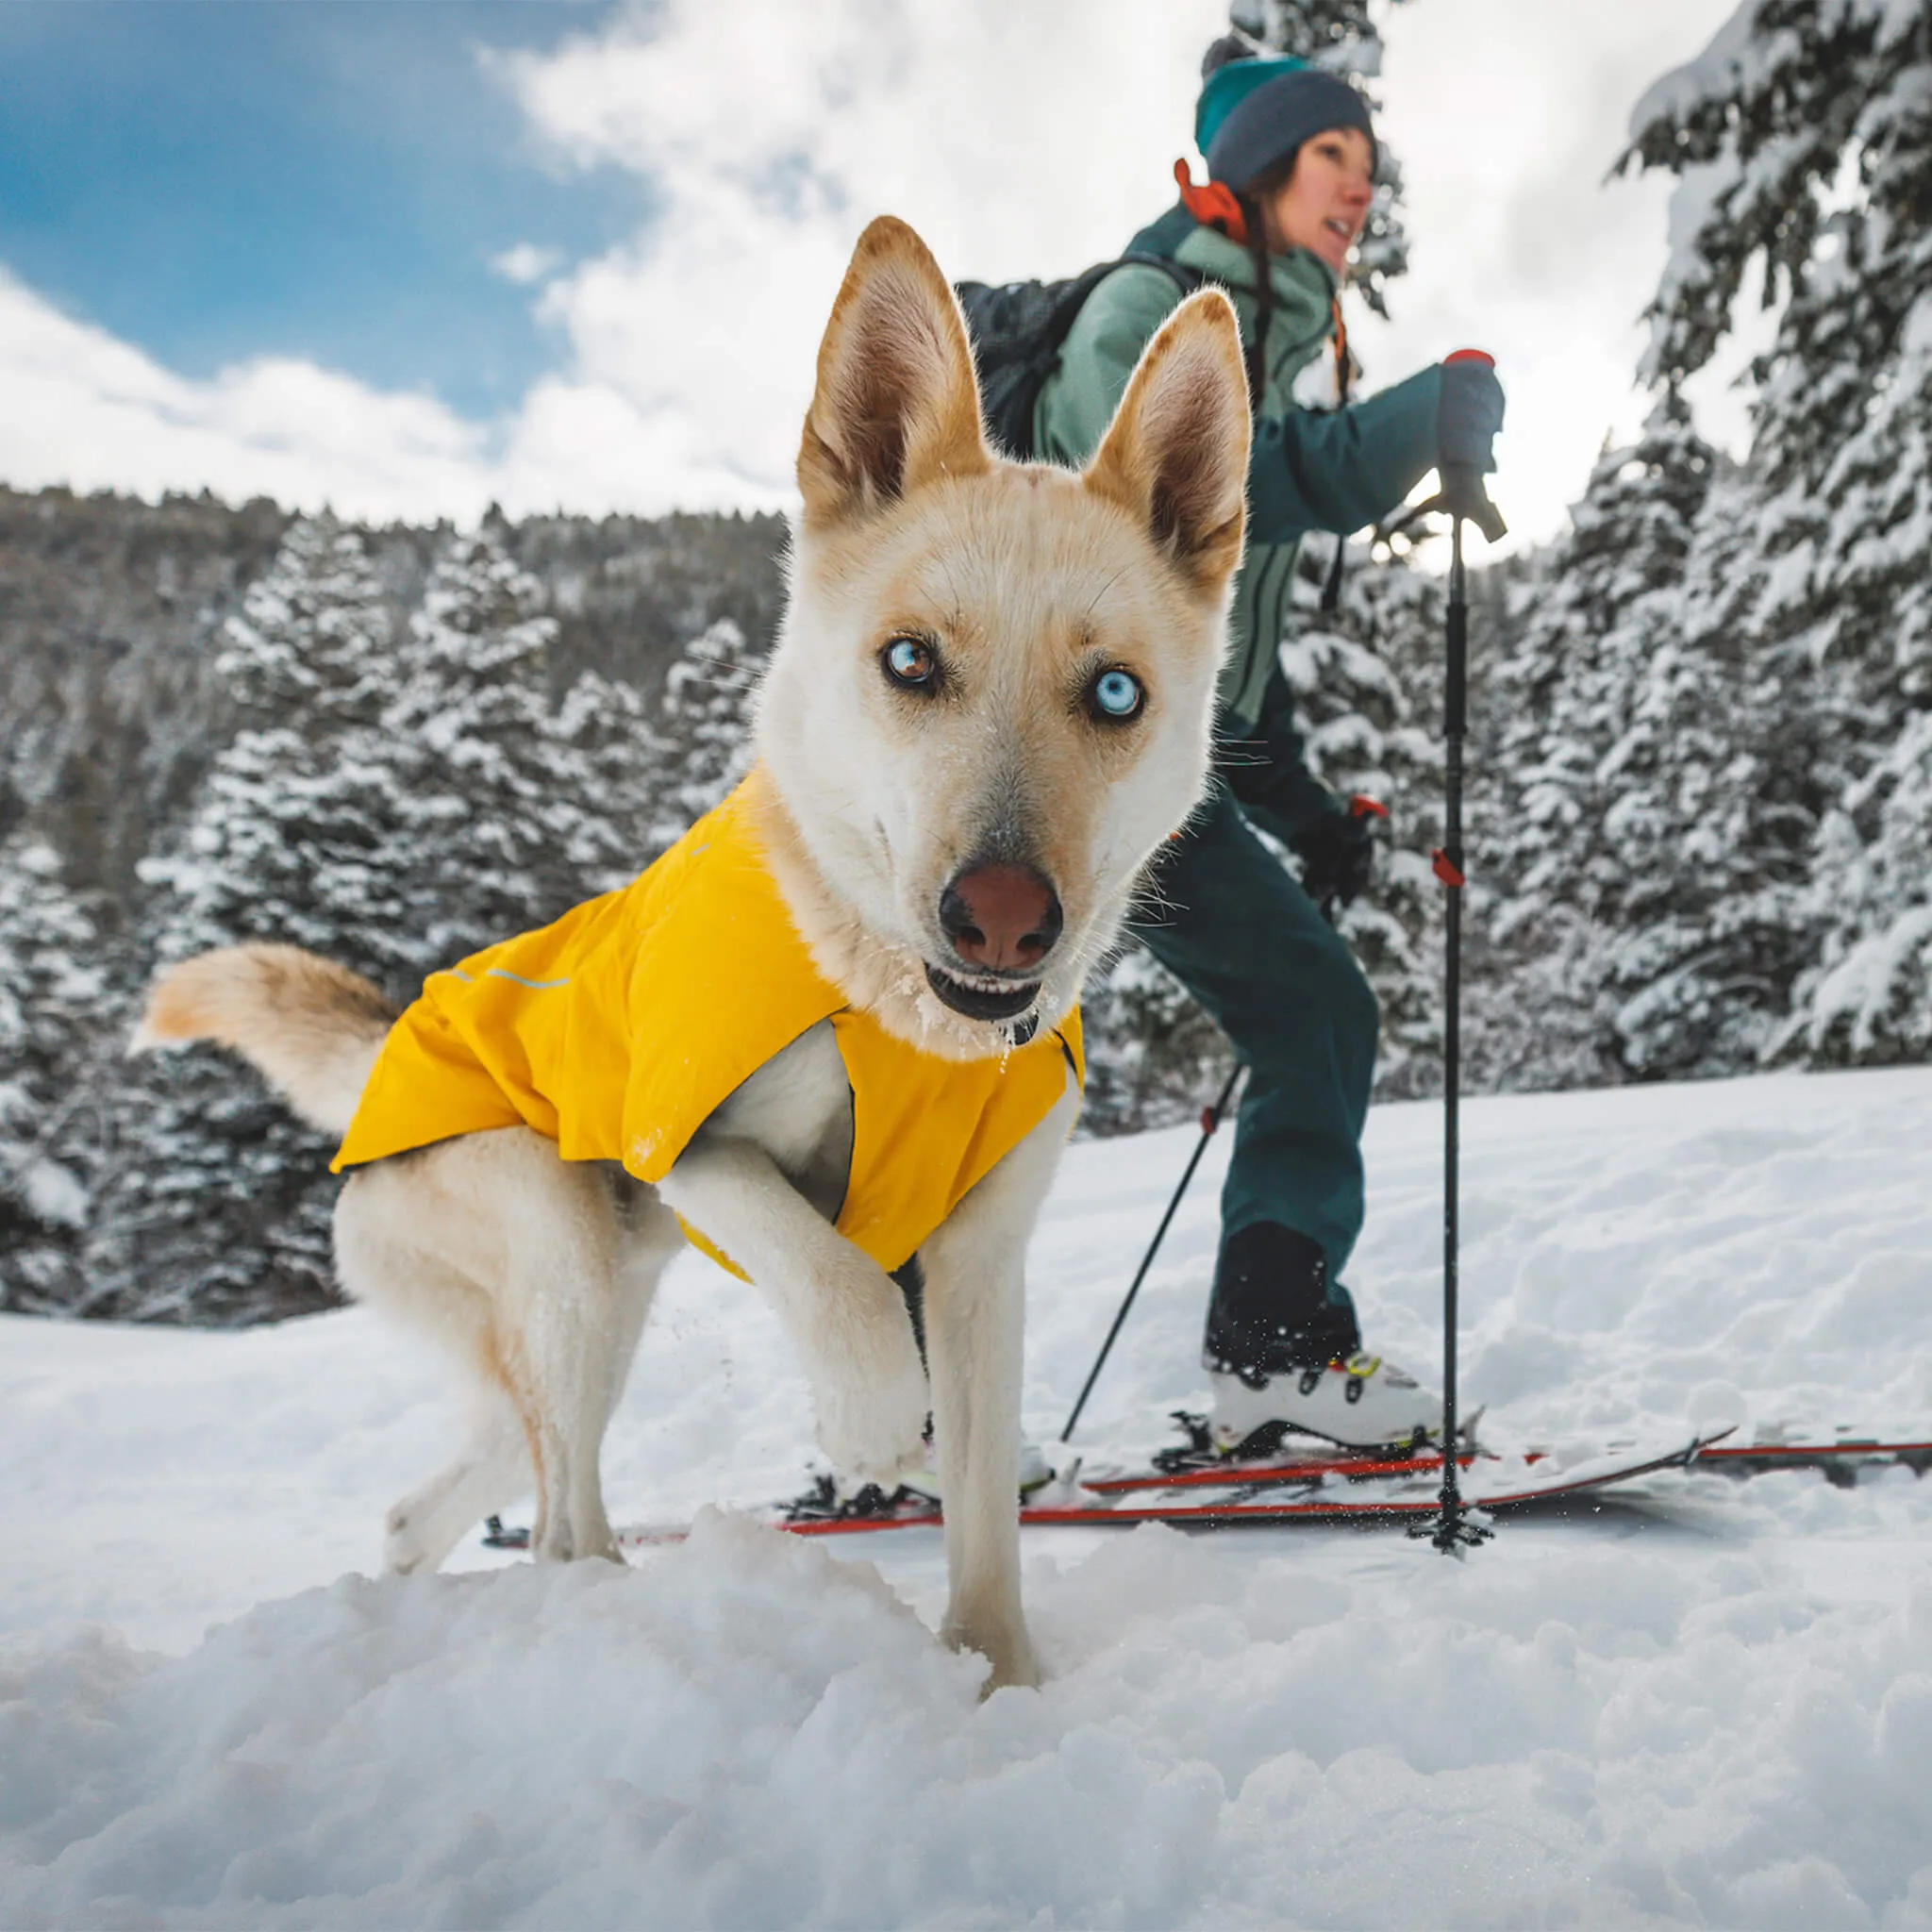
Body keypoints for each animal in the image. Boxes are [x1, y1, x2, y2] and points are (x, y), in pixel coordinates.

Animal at [140, 215, 1252, 1692]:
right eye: (911, 662)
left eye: (1115, 692)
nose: (1004, 915)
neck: (893, 1014)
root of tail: (383, 1046)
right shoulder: (687, 1144)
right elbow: (838, 1280)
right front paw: (875, 1423)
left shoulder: (980, 1263)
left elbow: (984, 1525)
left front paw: (996, 1679)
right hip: (568, 1259)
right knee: (561, 1513)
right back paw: (605, 1608)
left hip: (577, 1320)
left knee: (446, 1496)